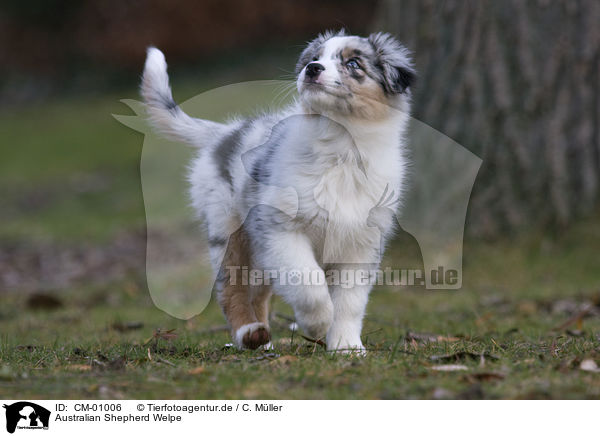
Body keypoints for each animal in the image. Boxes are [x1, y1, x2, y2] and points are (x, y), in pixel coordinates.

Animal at [141, 29, 414, 350]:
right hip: (229, 232)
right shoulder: (281, 229)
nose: (312, 69)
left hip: (260, 249)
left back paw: (263, 341)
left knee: (258, 293)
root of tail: (225, 134)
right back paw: (248, 332)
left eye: (353, 63)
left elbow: (350, 302)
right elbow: (308, 281)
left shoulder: (360, 244)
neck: (341, 151)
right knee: (231, 289)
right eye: (314, 58)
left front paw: (346, 346)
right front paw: (317, 323)